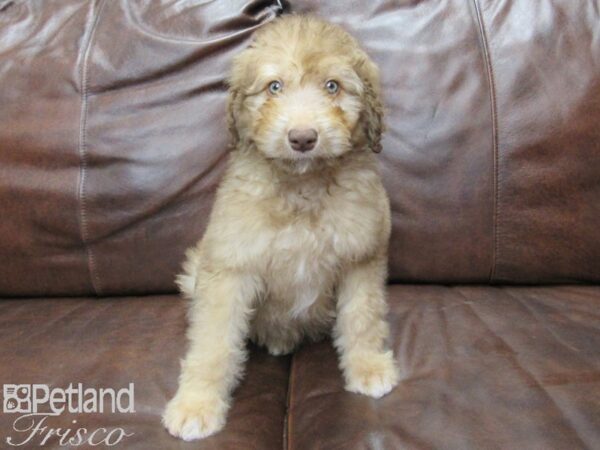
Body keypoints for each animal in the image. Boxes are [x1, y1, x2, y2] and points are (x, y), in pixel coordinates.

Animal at [163, 14, 398, 442]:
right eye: (275, 86)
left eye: (332, 86)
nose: (303, 138)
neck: (302, 187)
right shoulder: (228, 268)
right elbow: (213, 342)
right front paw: (197, 403)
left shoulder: (362, 257)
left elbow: (363, 317)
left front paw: (368, 366)